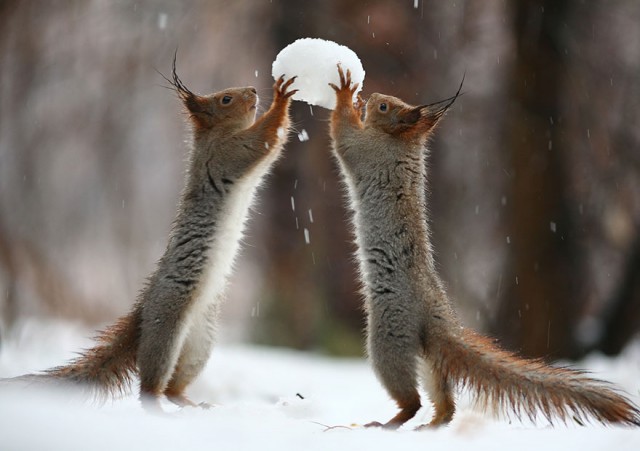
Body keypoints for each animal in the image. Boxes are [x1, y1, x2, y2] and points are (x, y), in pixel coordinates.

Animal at [3, 60, 298, 414]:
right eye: (225, 99)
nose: (253, 90)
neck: (214, 135)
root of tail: (142, 314)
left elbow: (274, 147)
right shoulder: (228, 155)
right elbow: (264, 140)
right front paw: (281, 97)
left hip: (199, 344)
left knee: (174, 386)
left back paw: (191, 404)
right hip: (166, 330)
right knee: (149, 387)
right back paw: (160, 409)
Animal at [330, 65, 640, 430]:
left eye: (384, 107)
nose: (374, 96)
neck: (401, 142)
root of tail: (436, 318)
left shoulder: (365, 151)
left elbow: (342, 135)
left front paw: (345, 94)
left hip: (388, 338)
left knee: (412, 398)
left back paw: (390, 422)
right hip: (427, 354)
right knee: (444, 400)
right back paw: (434, 423)